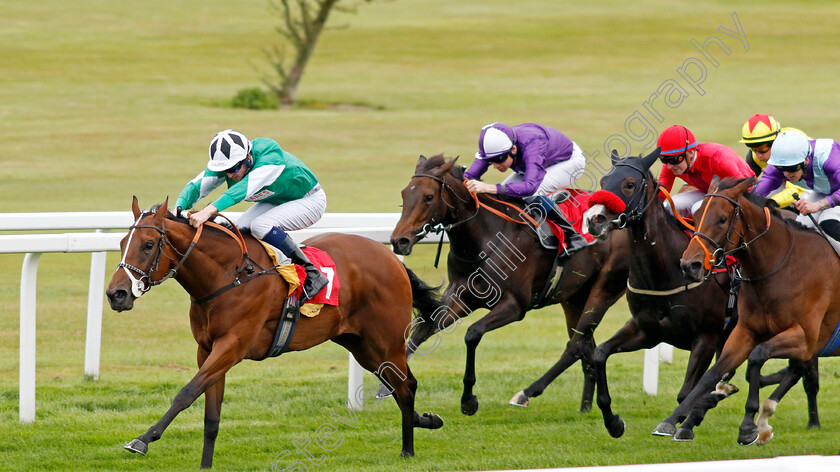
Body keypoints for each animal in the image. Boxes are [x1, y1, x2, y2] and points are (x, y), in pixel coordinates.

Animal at [106, 196, 446, 468]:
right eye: (122, 244)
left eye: (148, 245)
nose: (116, 294)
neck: (228, 276)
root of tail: (391, 259)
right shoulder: (208, 349)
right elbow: (211, 415)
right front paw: (205, 465)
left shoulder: (232, 346)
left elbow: (187, 393)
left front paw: (143, 439)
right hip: (361, 345)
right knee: (398, 384)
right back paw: (426, 421)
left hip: (386, 341)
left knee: (405, 386)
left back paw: (407, 450)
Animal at [388, 153, 632, 414]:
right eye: (404, 194)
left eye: (429, 197)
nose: (399, 241)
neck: (485, 240)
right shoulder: (460, 299)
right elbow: (421, 331)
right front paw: (387, 387)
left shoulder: (515, 306)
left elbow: (472, 334)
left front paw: (468, 400)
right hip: (574, 298)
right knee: (585, 343)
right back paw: (584, 406)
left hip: (603, 291)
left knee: (576, 345)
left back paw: (526, 393)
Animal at [584, 148, 740, 438]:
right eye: (603, 181)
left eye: (629, 184)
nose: (594, 219)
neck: (667, 271)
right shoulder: (647, 330)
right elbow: (599, 354)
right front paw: (614, 422)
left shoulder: (706, 337)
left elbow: (687, 393)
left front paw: (678, 424)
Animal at [668, 177, 832, 446]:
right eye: (696, 214)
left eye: (722, 219)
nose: (689, 265)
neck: (781, 266)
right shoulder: (745, 331)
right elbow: (713, 372)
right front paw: (674, 419)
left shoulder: (805, 336)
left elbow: (757, 356)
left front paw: (747, 425)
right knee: (796, 370)